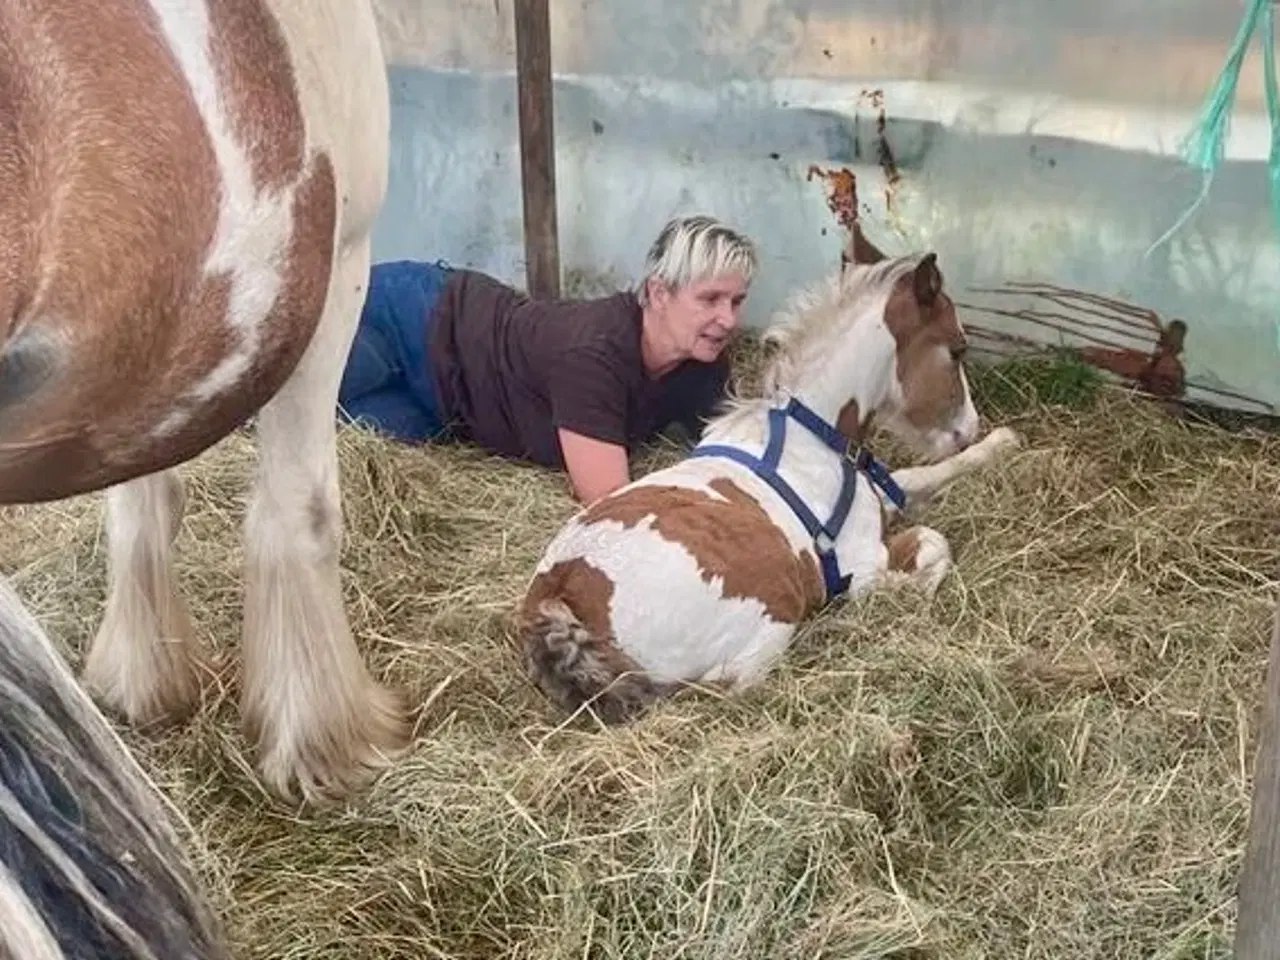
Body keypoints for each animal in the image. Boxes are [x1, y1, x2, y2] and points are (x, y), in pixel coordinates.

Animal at [517, 236, 1018, 727]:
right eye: (957, 349)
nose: (968, 428)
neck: (811, 433)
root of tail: (557, 596)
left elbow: (913, 479)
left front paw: (1001, 444)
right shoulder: (862, 561)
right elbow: (933, 545)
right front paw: (905, 592)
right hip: (766, 624)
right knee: (731, 683)